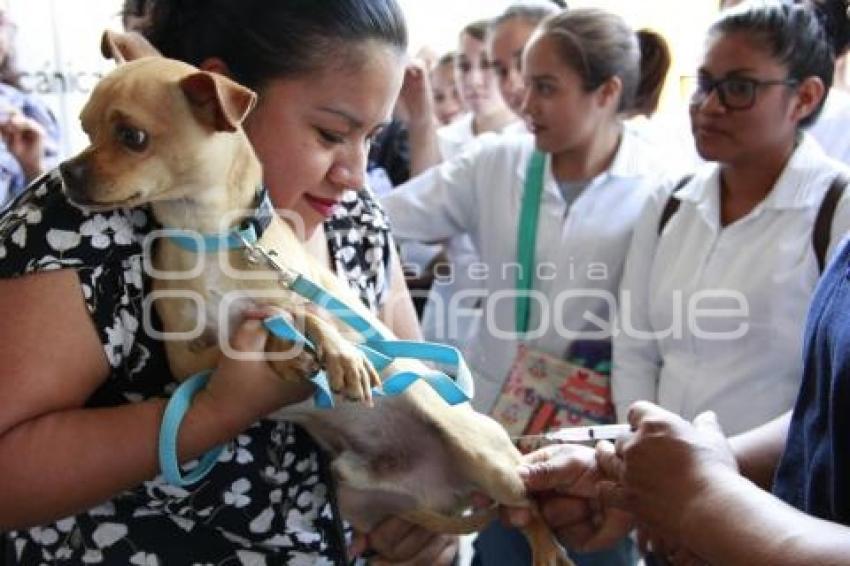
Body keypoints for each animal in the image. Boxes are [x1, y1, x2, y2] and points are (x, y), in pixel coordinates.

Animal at [61, 32, 568, 566]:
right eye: (85, 128)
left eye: (132, 137)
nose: (67, 171)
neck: (214, 237)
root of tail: (452, 489)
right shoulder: (184, 360)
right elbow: (250, 333)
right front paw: (284, 351)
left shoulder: (316, 303)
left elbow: (303, 312)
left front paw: (335, 356)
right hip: (359, 495)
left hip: (489, 460)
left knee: (530, 508)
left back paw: (547, 550)